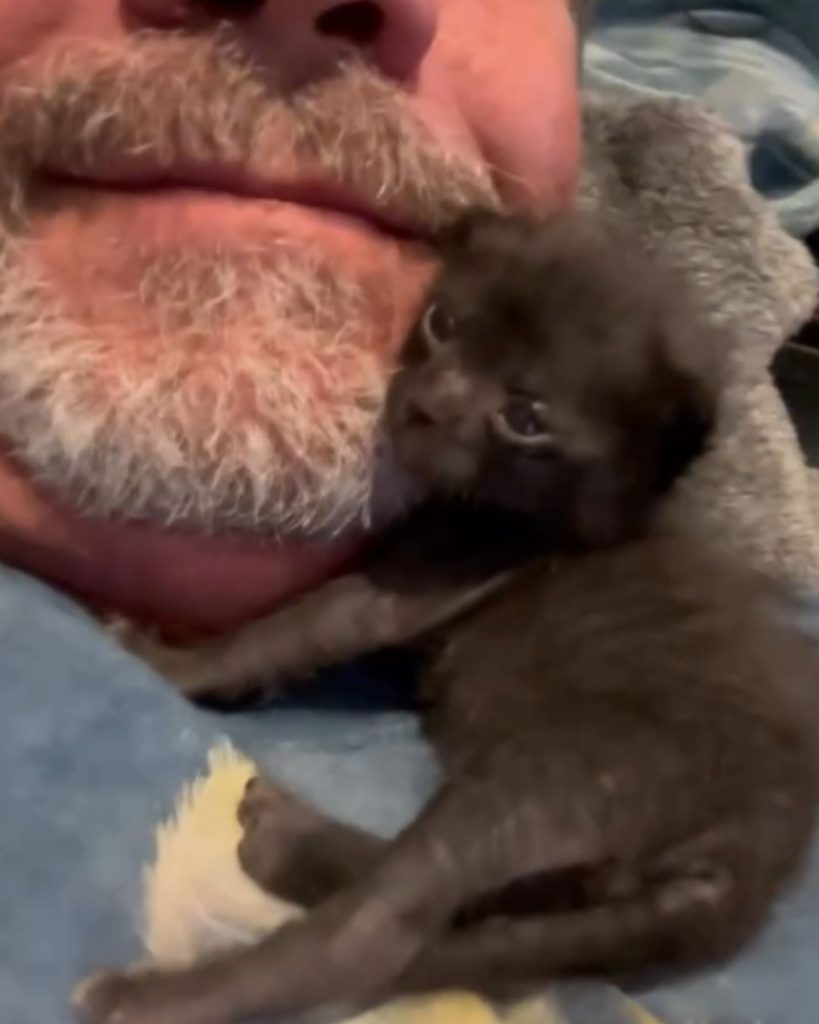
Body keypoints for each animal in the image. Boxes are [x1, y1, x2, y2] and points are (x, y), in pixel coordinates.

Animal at [75, 207, 818, 1024]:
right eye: (442, 322)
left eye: (525, 417)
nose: (426, 405)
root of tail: (756, 851)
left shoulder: (420, 582)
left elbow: (295, 627)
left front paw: (165, 656)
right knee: (486, 917)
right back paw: (290, 841)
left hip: (565, 769)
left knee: (380, 933)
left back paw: (168, 984)